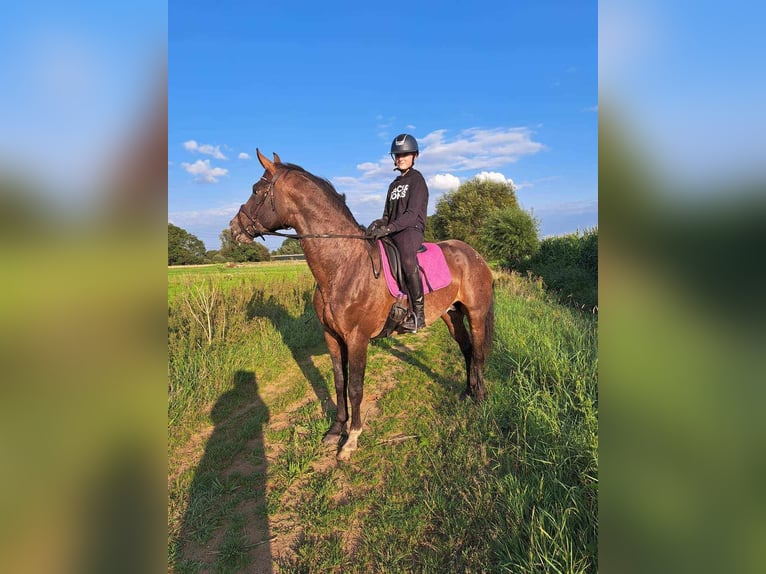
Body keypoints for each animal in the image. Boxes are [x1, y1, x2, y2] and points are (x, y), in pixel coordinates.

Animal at [228, 151, 496, 462]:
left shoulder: (357, 338)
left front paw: (351, 438)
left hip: (476, 313)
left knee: (478, 352)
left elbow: (355, 387)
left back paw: (480, 397)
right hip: (451, 315)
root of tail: (474, 254)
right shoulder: (332, 337)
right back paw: (467, 392)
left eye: (256, 190)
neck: (342, 265)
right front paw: (335, 431)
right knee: (466, 350)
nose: (233, 228)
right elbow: (339, 382)